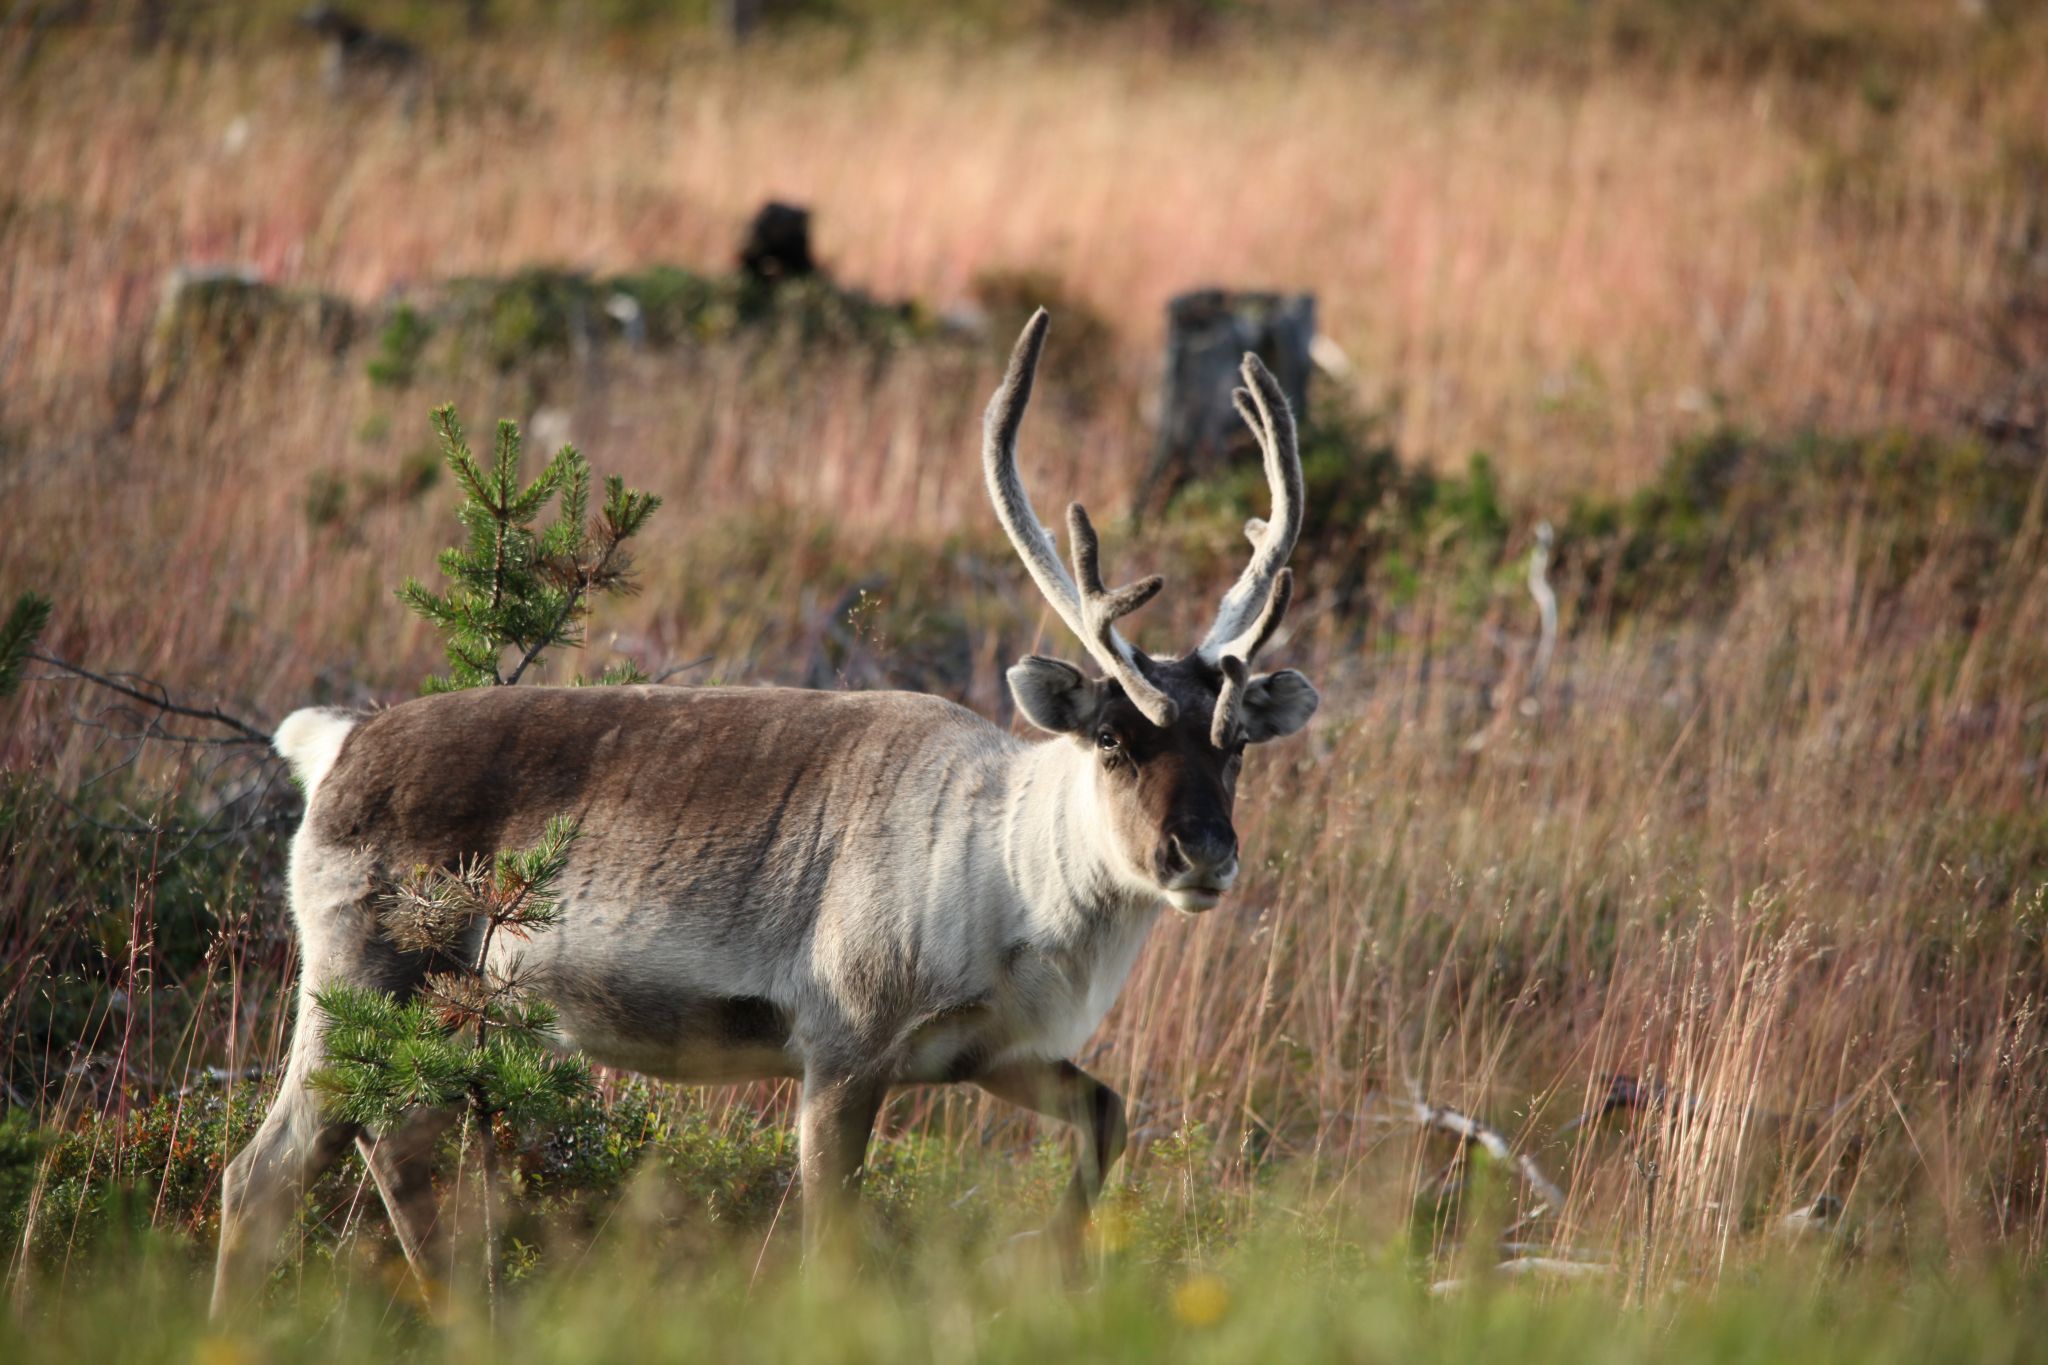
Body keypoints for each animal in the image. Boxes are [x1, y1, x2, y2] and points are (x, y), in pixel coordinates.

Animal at [211, 311, 1318, 1315]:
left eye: (1233, 745)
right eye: (1114, 738)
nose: (1200, 852)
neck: (1011, 879)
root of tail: (336, 742)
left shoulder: (995, 1051)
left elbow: (1108, 1116)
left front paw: (1048, 1262)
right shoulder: (843, 1042)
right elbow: (832, 1240)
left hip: (441, 1012)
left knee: (391, 1155)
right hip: (361, 977)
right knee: (267, 1170)